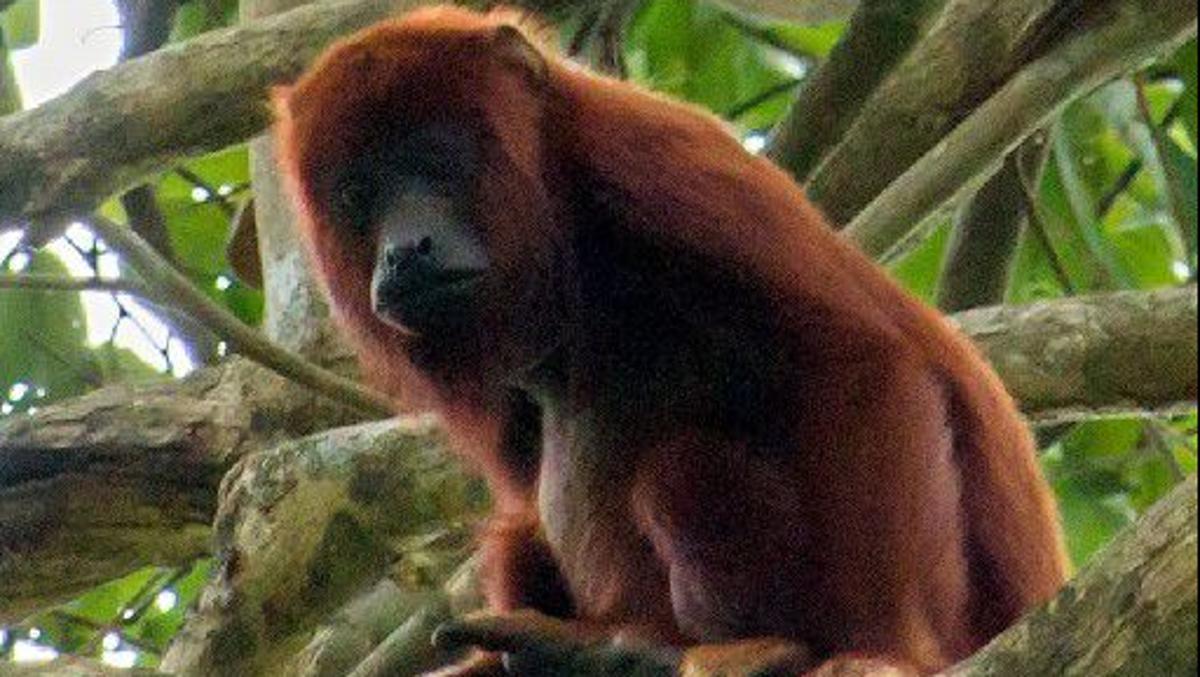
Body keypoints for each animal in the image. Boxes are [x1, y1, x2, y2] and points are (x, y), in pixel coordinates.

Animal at [273, 6, 1068, 674]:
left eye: (435, 159)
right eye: (356, 196)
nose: (402, 253)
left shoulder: (652, 157)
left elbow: (861, 358)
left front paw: (886, 652)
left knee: (684, 468)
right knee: (519, 535)